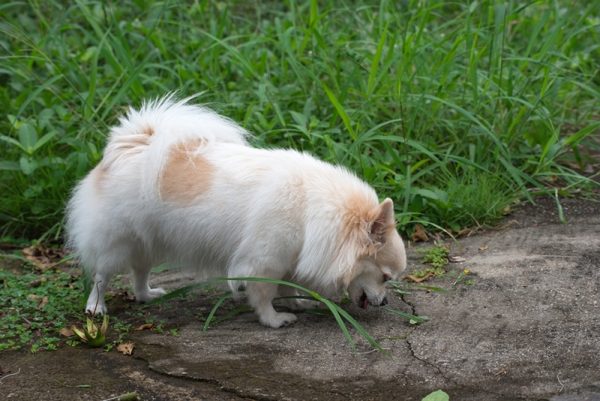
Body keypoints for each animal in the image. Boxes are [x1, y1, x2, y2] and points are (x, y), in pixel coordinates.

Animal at [68, 95, 408, 326]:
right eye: (385, 277)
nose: (384, 302)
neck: (312, 210)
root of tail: (132, 144)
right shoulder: (264, 260)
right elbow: (264, 294)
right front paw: (274, 319)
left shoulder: (288, 257)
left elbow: (285, 286)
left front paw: (297, 302)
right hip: (117, 241)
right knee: (101, 275)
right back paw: (96, 307)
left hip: (148, 239)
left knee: (139, 271)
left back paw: (147, 294)